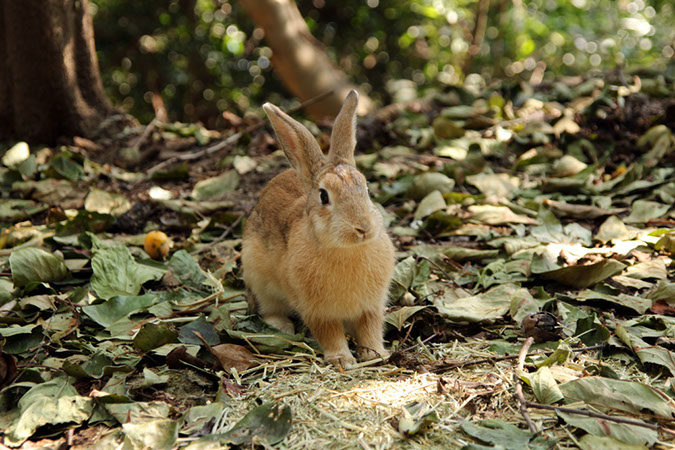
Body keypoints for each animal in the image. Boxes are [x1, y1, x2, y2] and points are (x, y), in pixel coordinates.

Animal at [241, 90, 395, 369]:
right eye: (324, 196)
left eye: (366, 188)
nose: (363, 228)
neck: (347, 251)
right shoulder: (318, 311)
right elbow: (329, 333)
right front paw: (342, 360)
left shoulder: (371, 307)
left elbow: (370, 328)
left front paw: (375, 354)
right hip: (258, 279)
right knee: (269, 308)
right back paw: (282, 326)